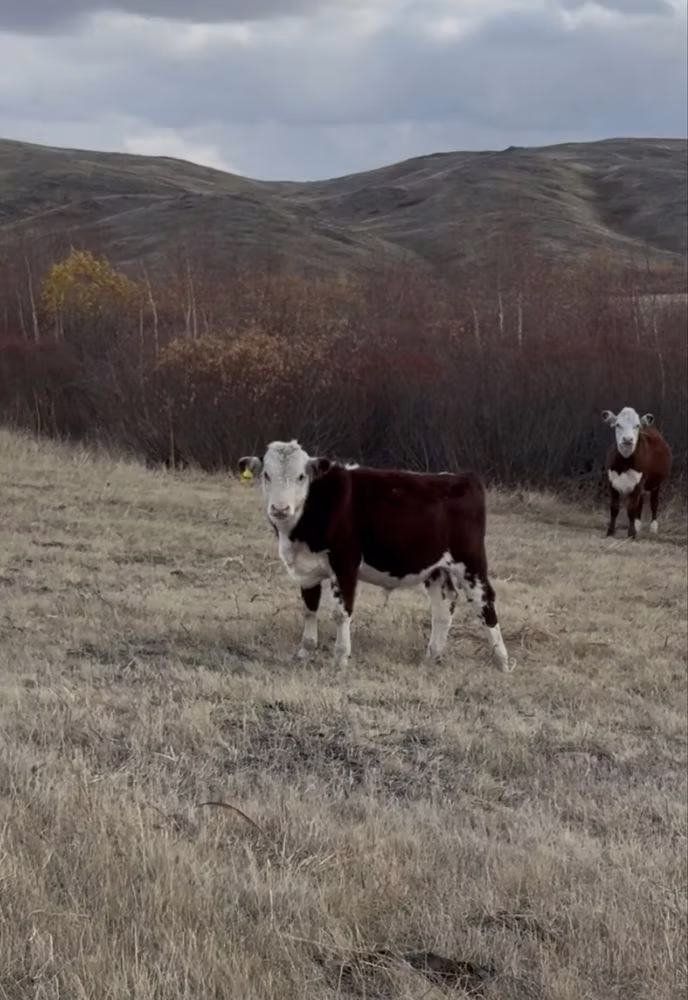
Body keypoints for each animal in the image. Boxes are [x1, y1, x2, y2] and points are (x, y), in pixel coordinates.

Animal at [238, 440, 512, 673]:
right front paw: (305, 652)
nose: (280, 508)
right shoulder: (307, 569)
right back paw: (432, 656)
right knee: (444, 605)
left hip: (471, 562)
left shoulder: (345, 563)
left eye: (301, 476)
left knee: (485, 602)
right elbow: (309, 607)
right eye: (266, 474)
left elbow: (341, 612)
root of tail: (463, 478)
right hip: (436, 568)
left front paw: (340, 658)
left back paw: (502, 660)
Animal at [601, 406, 672, 539]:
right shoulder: (612, 482)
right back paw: (637, 525)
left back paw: (653, 528)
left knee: (654, 503)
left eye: (637, 425)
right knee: (641, 502)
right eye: (618, 424)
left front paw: (631, 534)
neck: (624, 463)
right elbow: (614, 508)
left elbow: (631, 509)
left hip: (656, 484)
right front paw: (610, 532)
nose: (628, 439)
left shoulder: (638, 483)